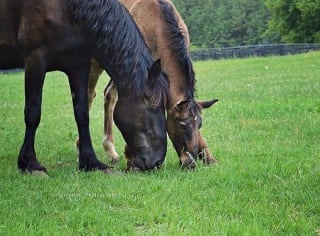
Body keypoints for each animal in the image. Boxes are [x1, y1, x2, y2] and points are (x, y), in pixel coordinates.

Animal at [0, 0, 169, 173]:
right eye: (153, 107)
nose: (157, 162)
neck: (68, 8)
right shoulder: (35, 58)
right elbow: (33, 113)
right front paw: (30, 163)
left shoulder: (79, 64)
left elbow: (82, 113)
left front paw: (90, 161)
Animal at [86, 0, 219, 170]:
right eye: (181, 124)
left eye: (200, 125)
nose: (189, 163)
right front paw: (132, 159)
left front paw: (209, 158)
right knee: (90, 95)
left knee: (109, 94)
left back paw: (111, 151)